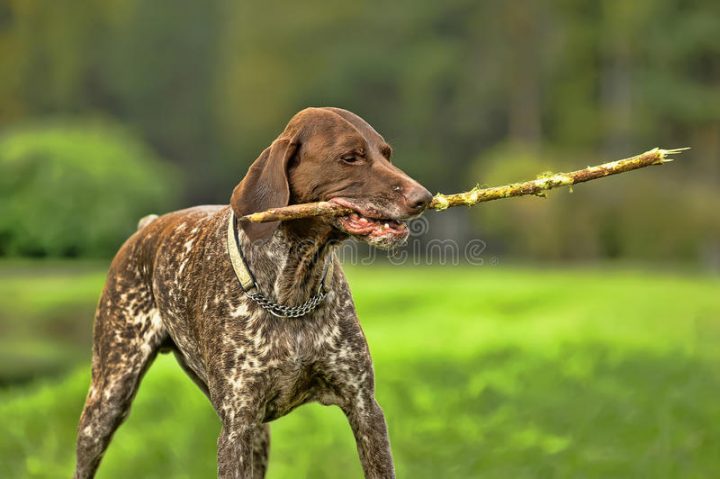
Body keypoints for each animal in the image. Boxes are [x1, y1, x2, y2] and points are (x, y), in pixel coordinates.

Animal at [74, 109, 434, 479]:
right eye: (350, 157)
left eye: (387, 154)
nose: (423, 198)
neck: (292, 289)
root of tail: (147, 226)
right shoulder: (236, 426)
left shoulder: (364, 407)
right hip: (107, 400)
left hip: (259, 436)